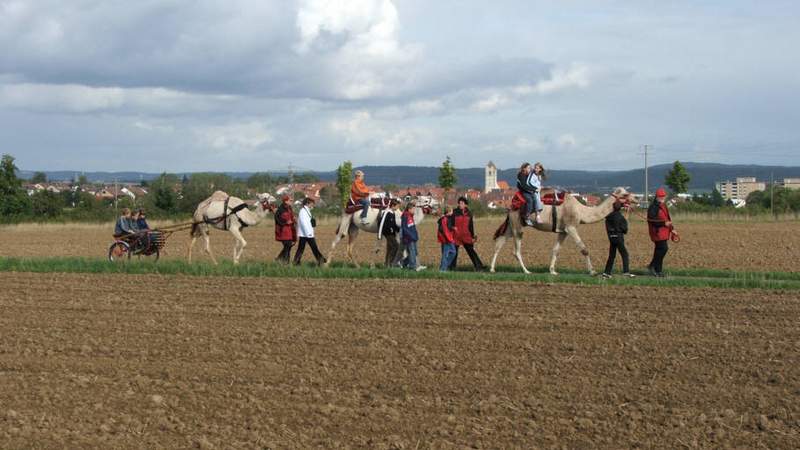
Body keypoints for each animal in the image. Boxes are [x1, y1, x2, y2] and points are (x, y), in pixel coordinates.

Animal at [488, 186, 636, 274]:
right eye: (625, 194)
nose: (636, 199)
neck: (581, 211)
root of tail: (511, 205)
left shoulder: (563, 231)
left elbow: (556, 250)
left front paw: (552, 271)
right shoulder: (571, 227)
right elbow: (584, 249)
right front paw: (592, 271)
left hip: (511, 225)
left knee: (499, 243)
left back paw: (492, 268)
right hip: (517, 224)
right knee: (516, 250)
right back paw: (526, 271)